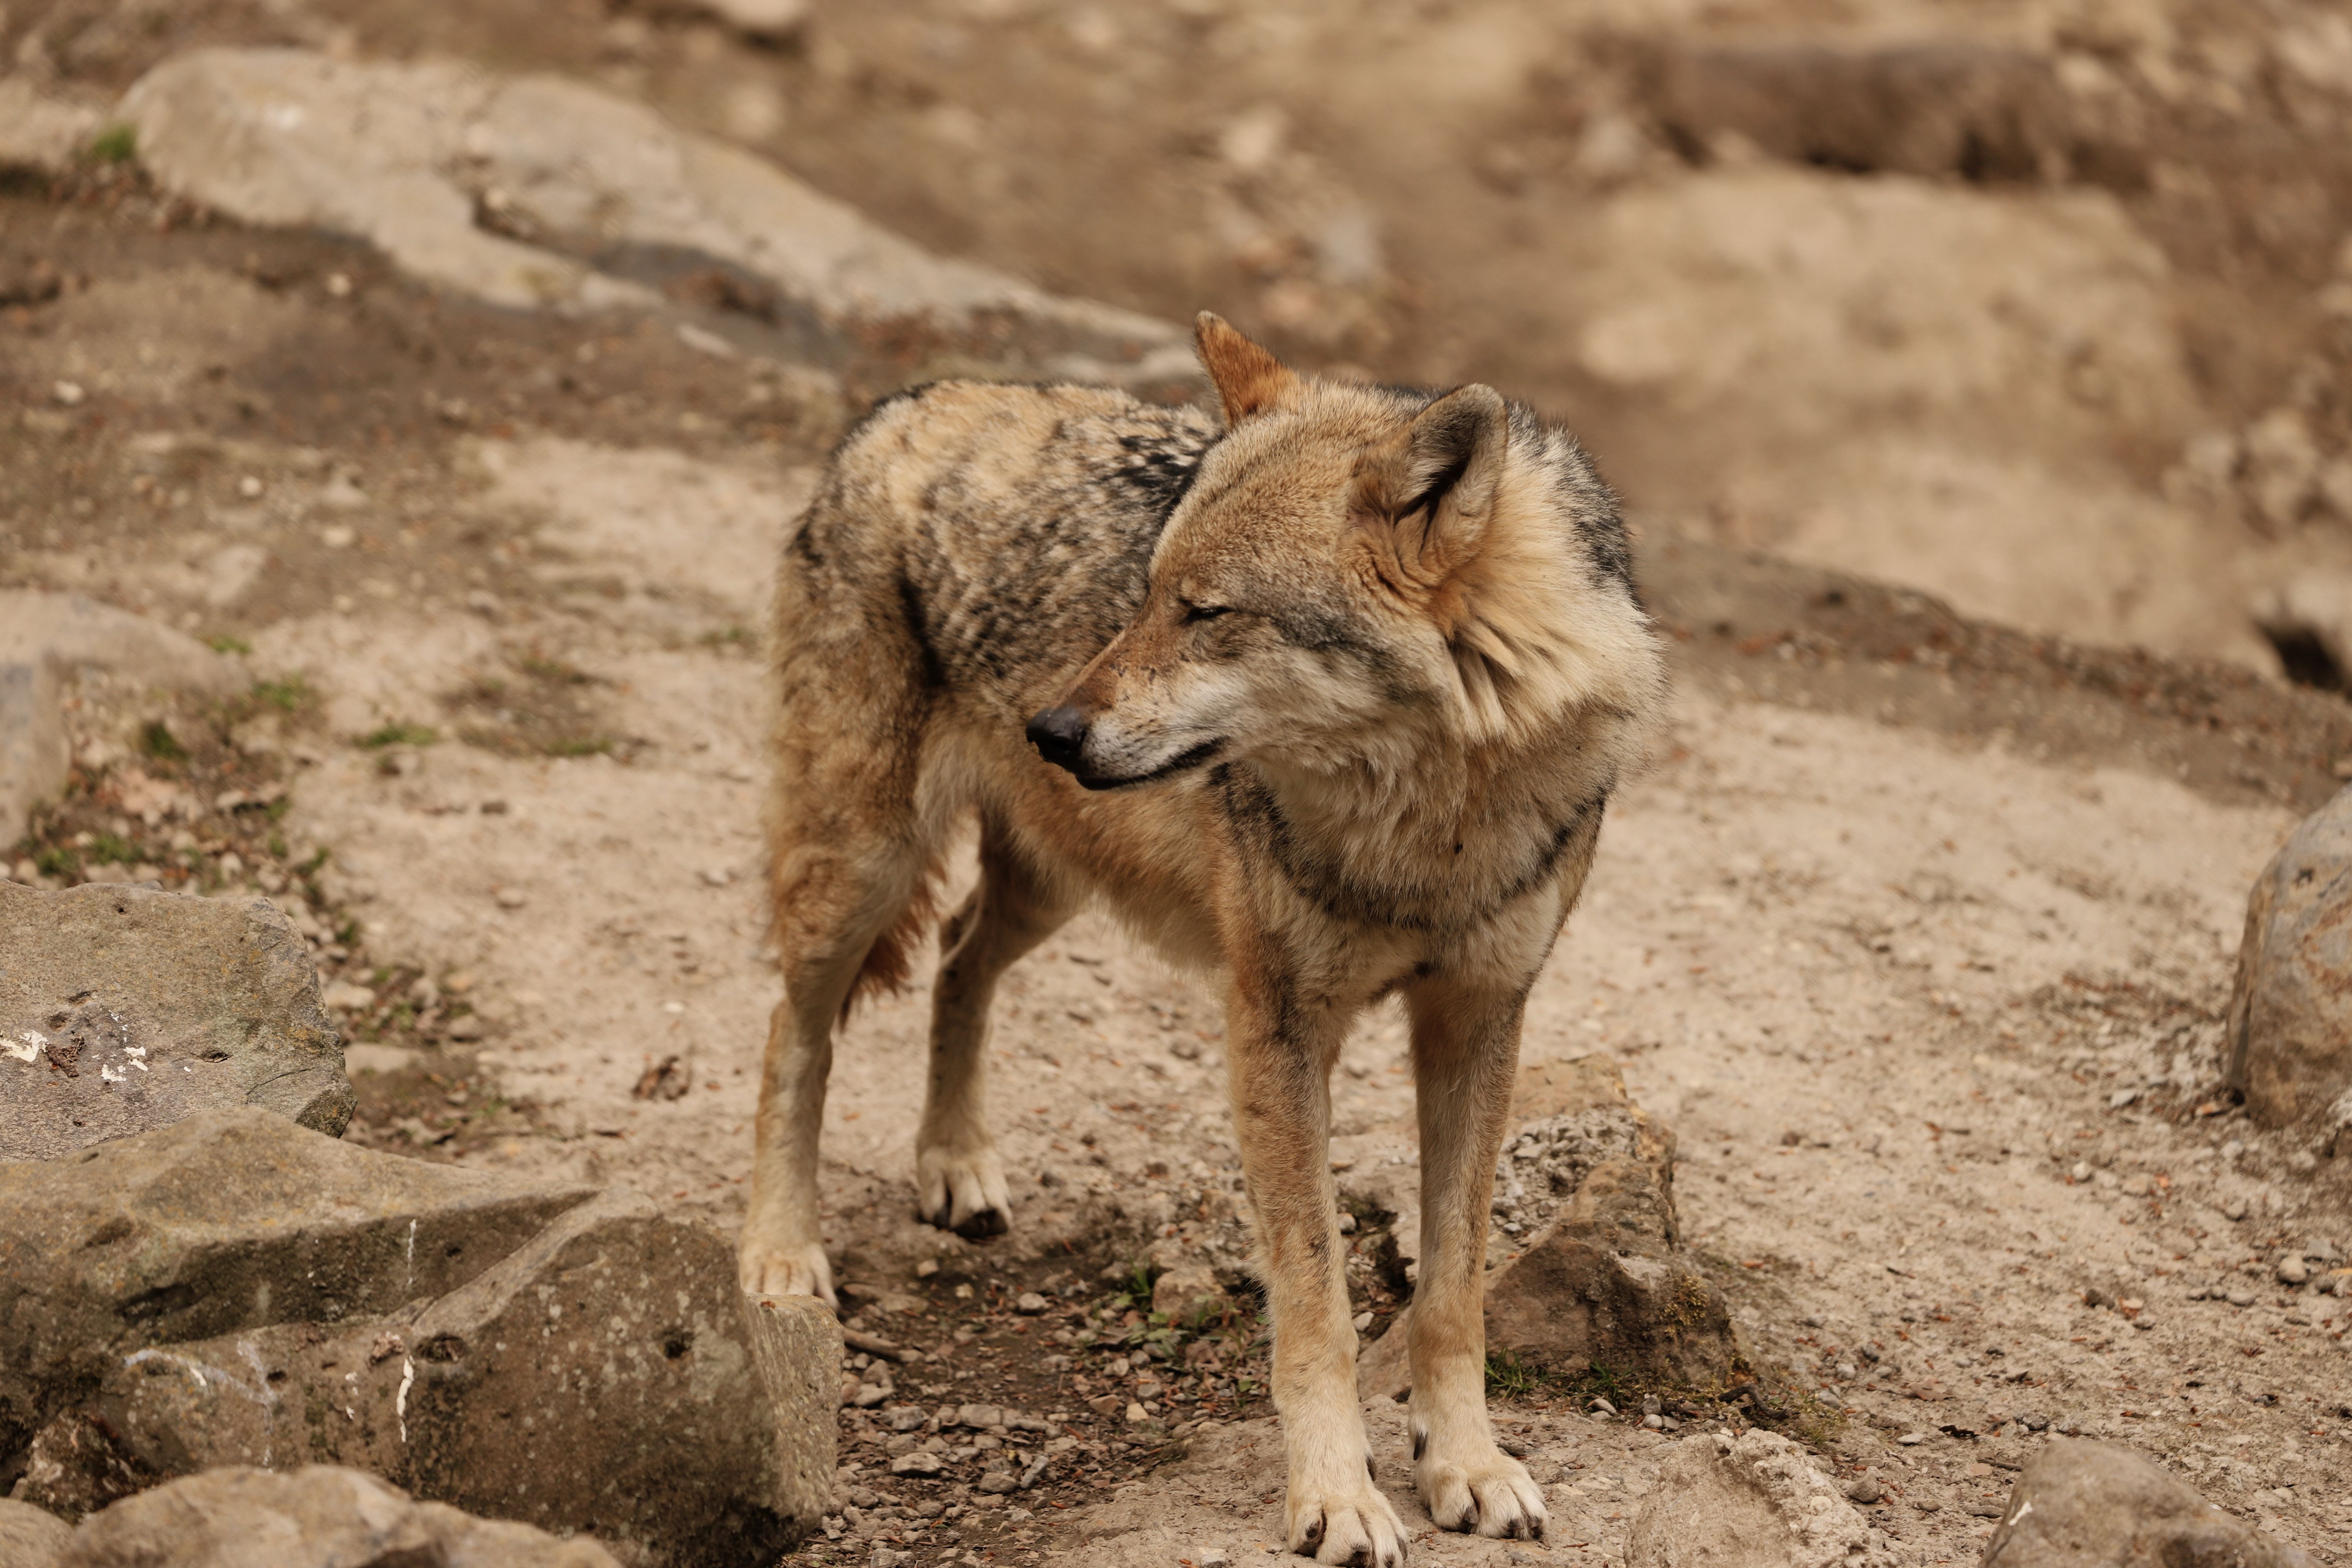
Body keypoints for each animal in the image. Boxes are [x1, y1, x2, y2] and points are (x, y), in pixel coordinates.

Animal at [740, 315, 1663, 1565]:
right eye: (1143, 597)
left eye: (1206, 613)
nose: (1050, 729)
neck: (1431, 822)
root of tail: (905, 402)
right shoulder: (1277, 1025)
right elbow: (1318, 1302)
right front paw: (1337, 1497)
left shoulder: (1480, 1021)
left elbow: (1455, 1287)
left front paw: (1465, 1465)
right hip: (861, 870)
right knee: (795, 1033)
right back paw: (782, 1253)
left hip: (1055, 885)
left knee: (960, 957)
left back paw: (956, 1162)